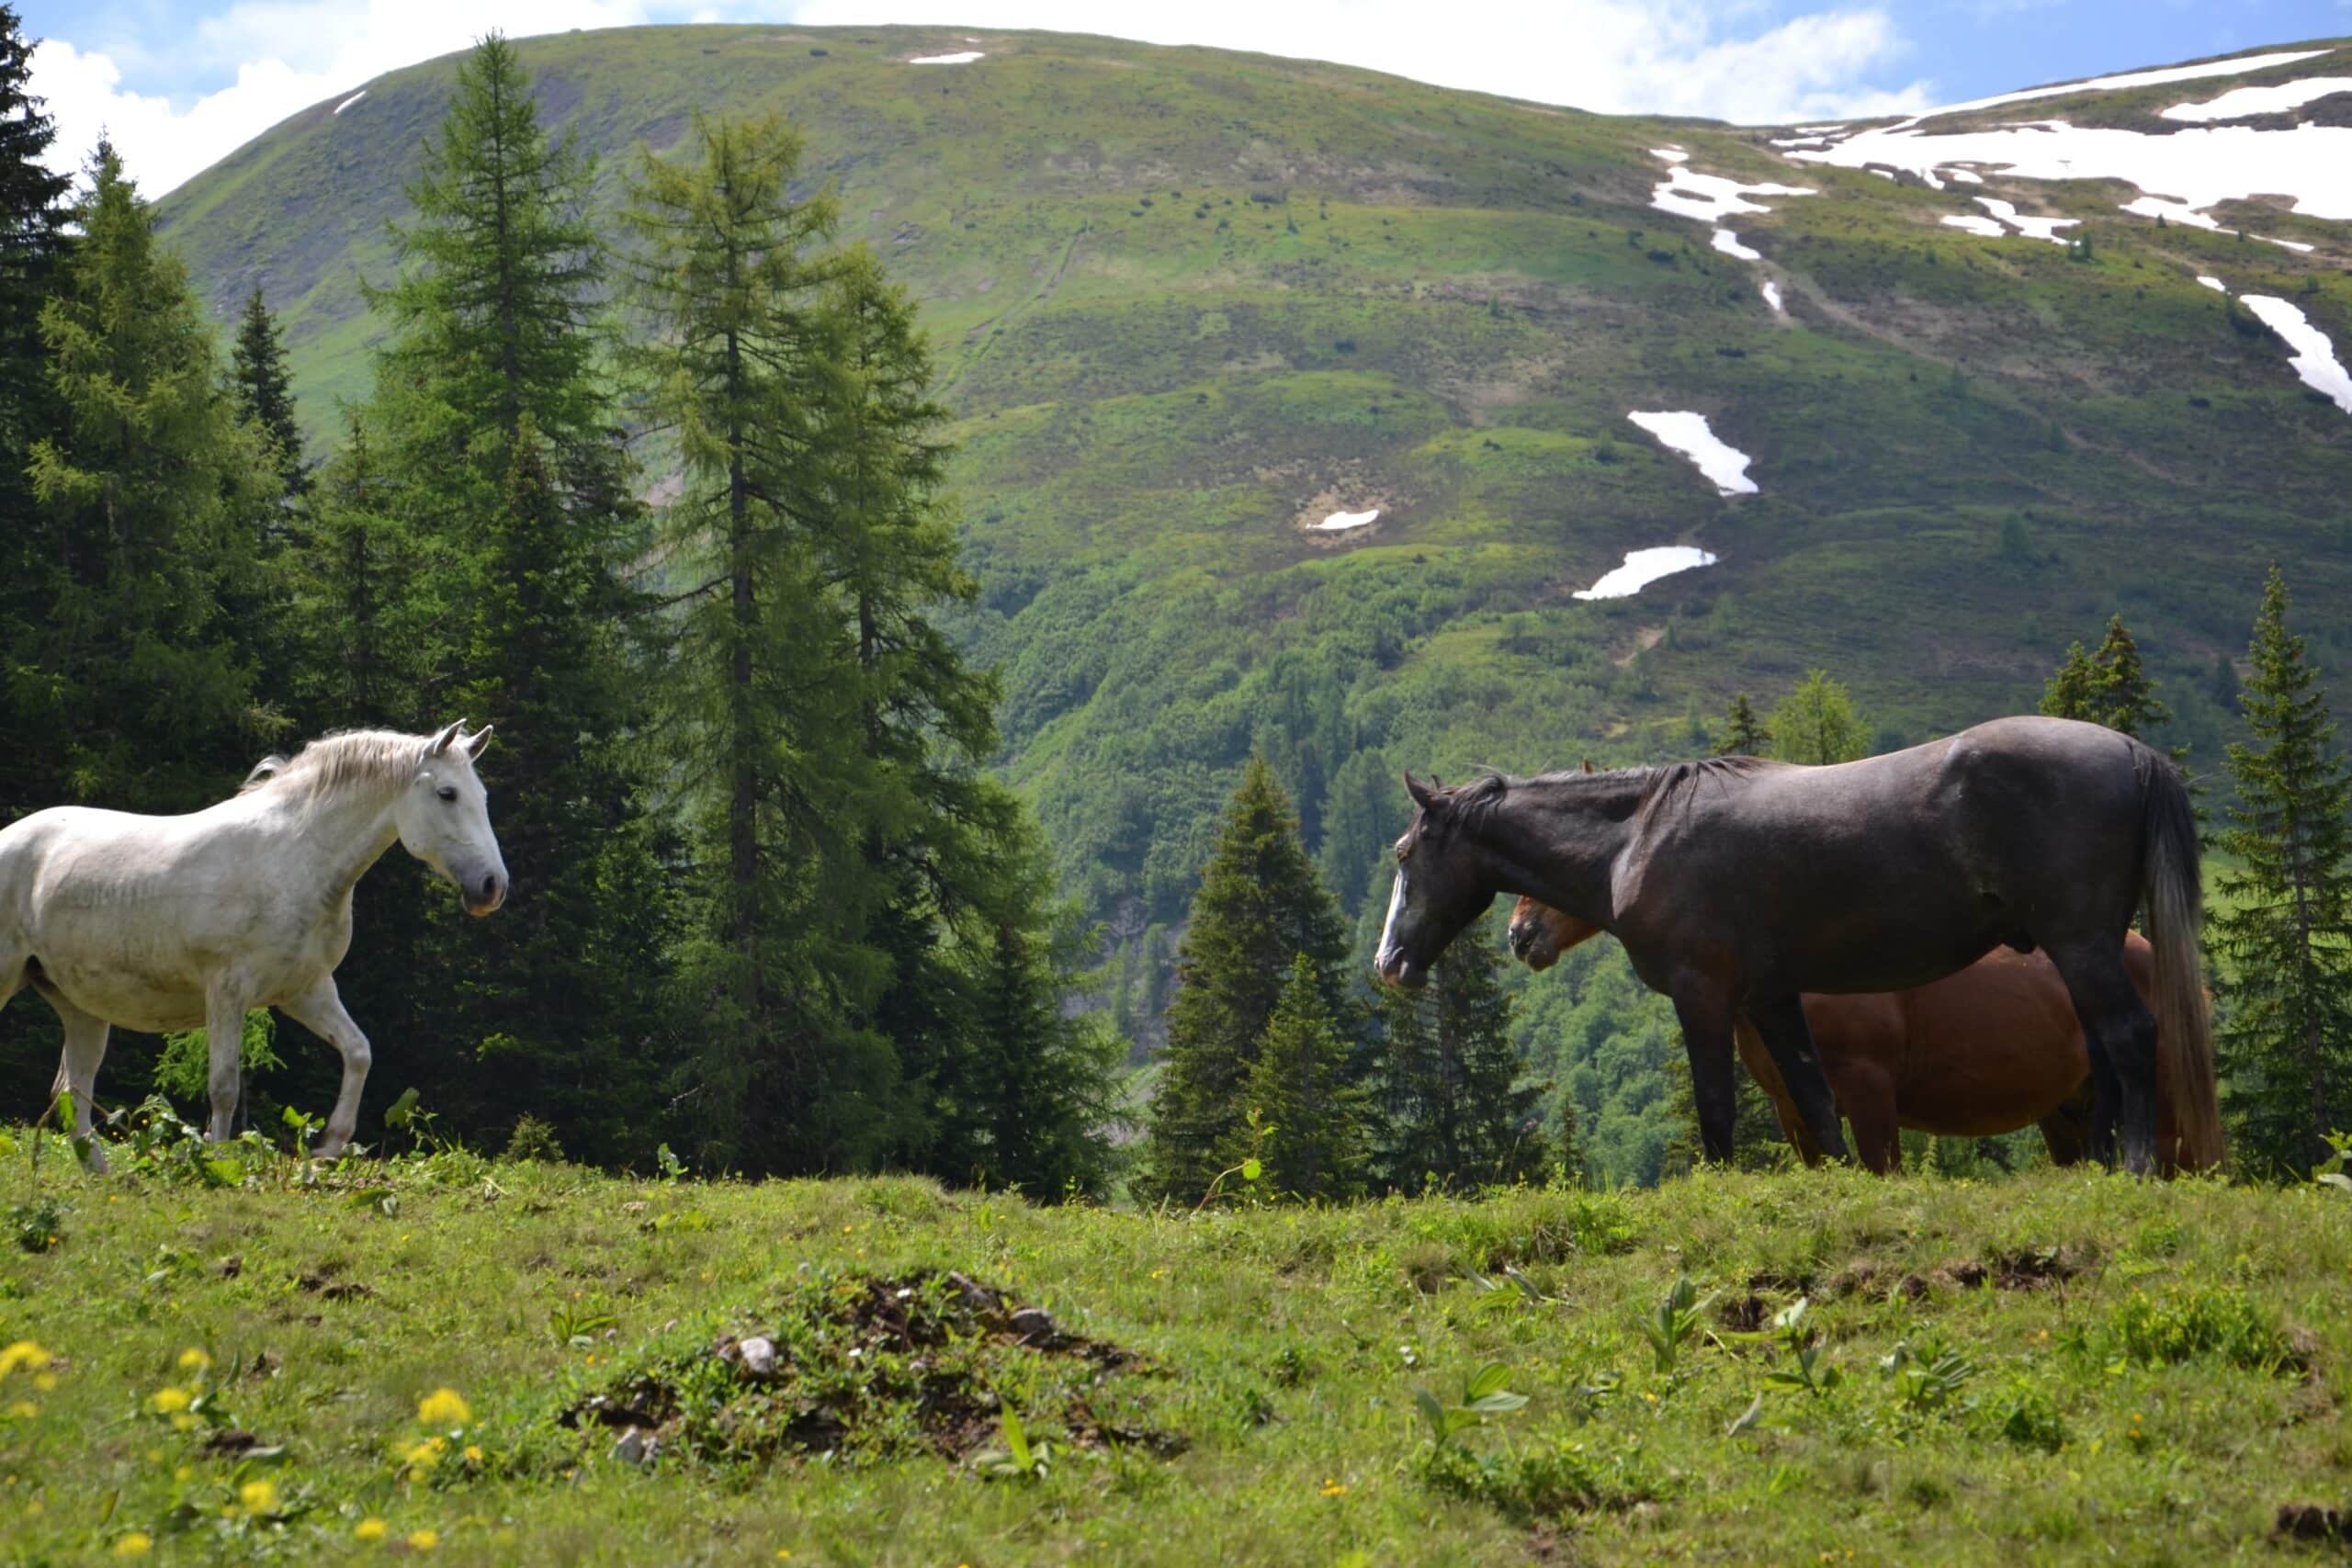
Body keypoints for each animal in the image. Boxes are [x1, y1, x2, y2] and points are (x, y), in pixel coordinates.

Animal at [0, 723, 506, 1166]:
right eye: (447, 794)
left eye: (483, 796)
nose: (492, 886)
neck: (293, 859)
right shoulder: (226, 991)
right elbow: (224, 1086)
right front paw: (219, 1163)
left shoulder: (306, 990)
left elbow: (358, 1052)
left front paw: (329, 1146)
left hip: (80, 1006)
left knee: (71, 1091)